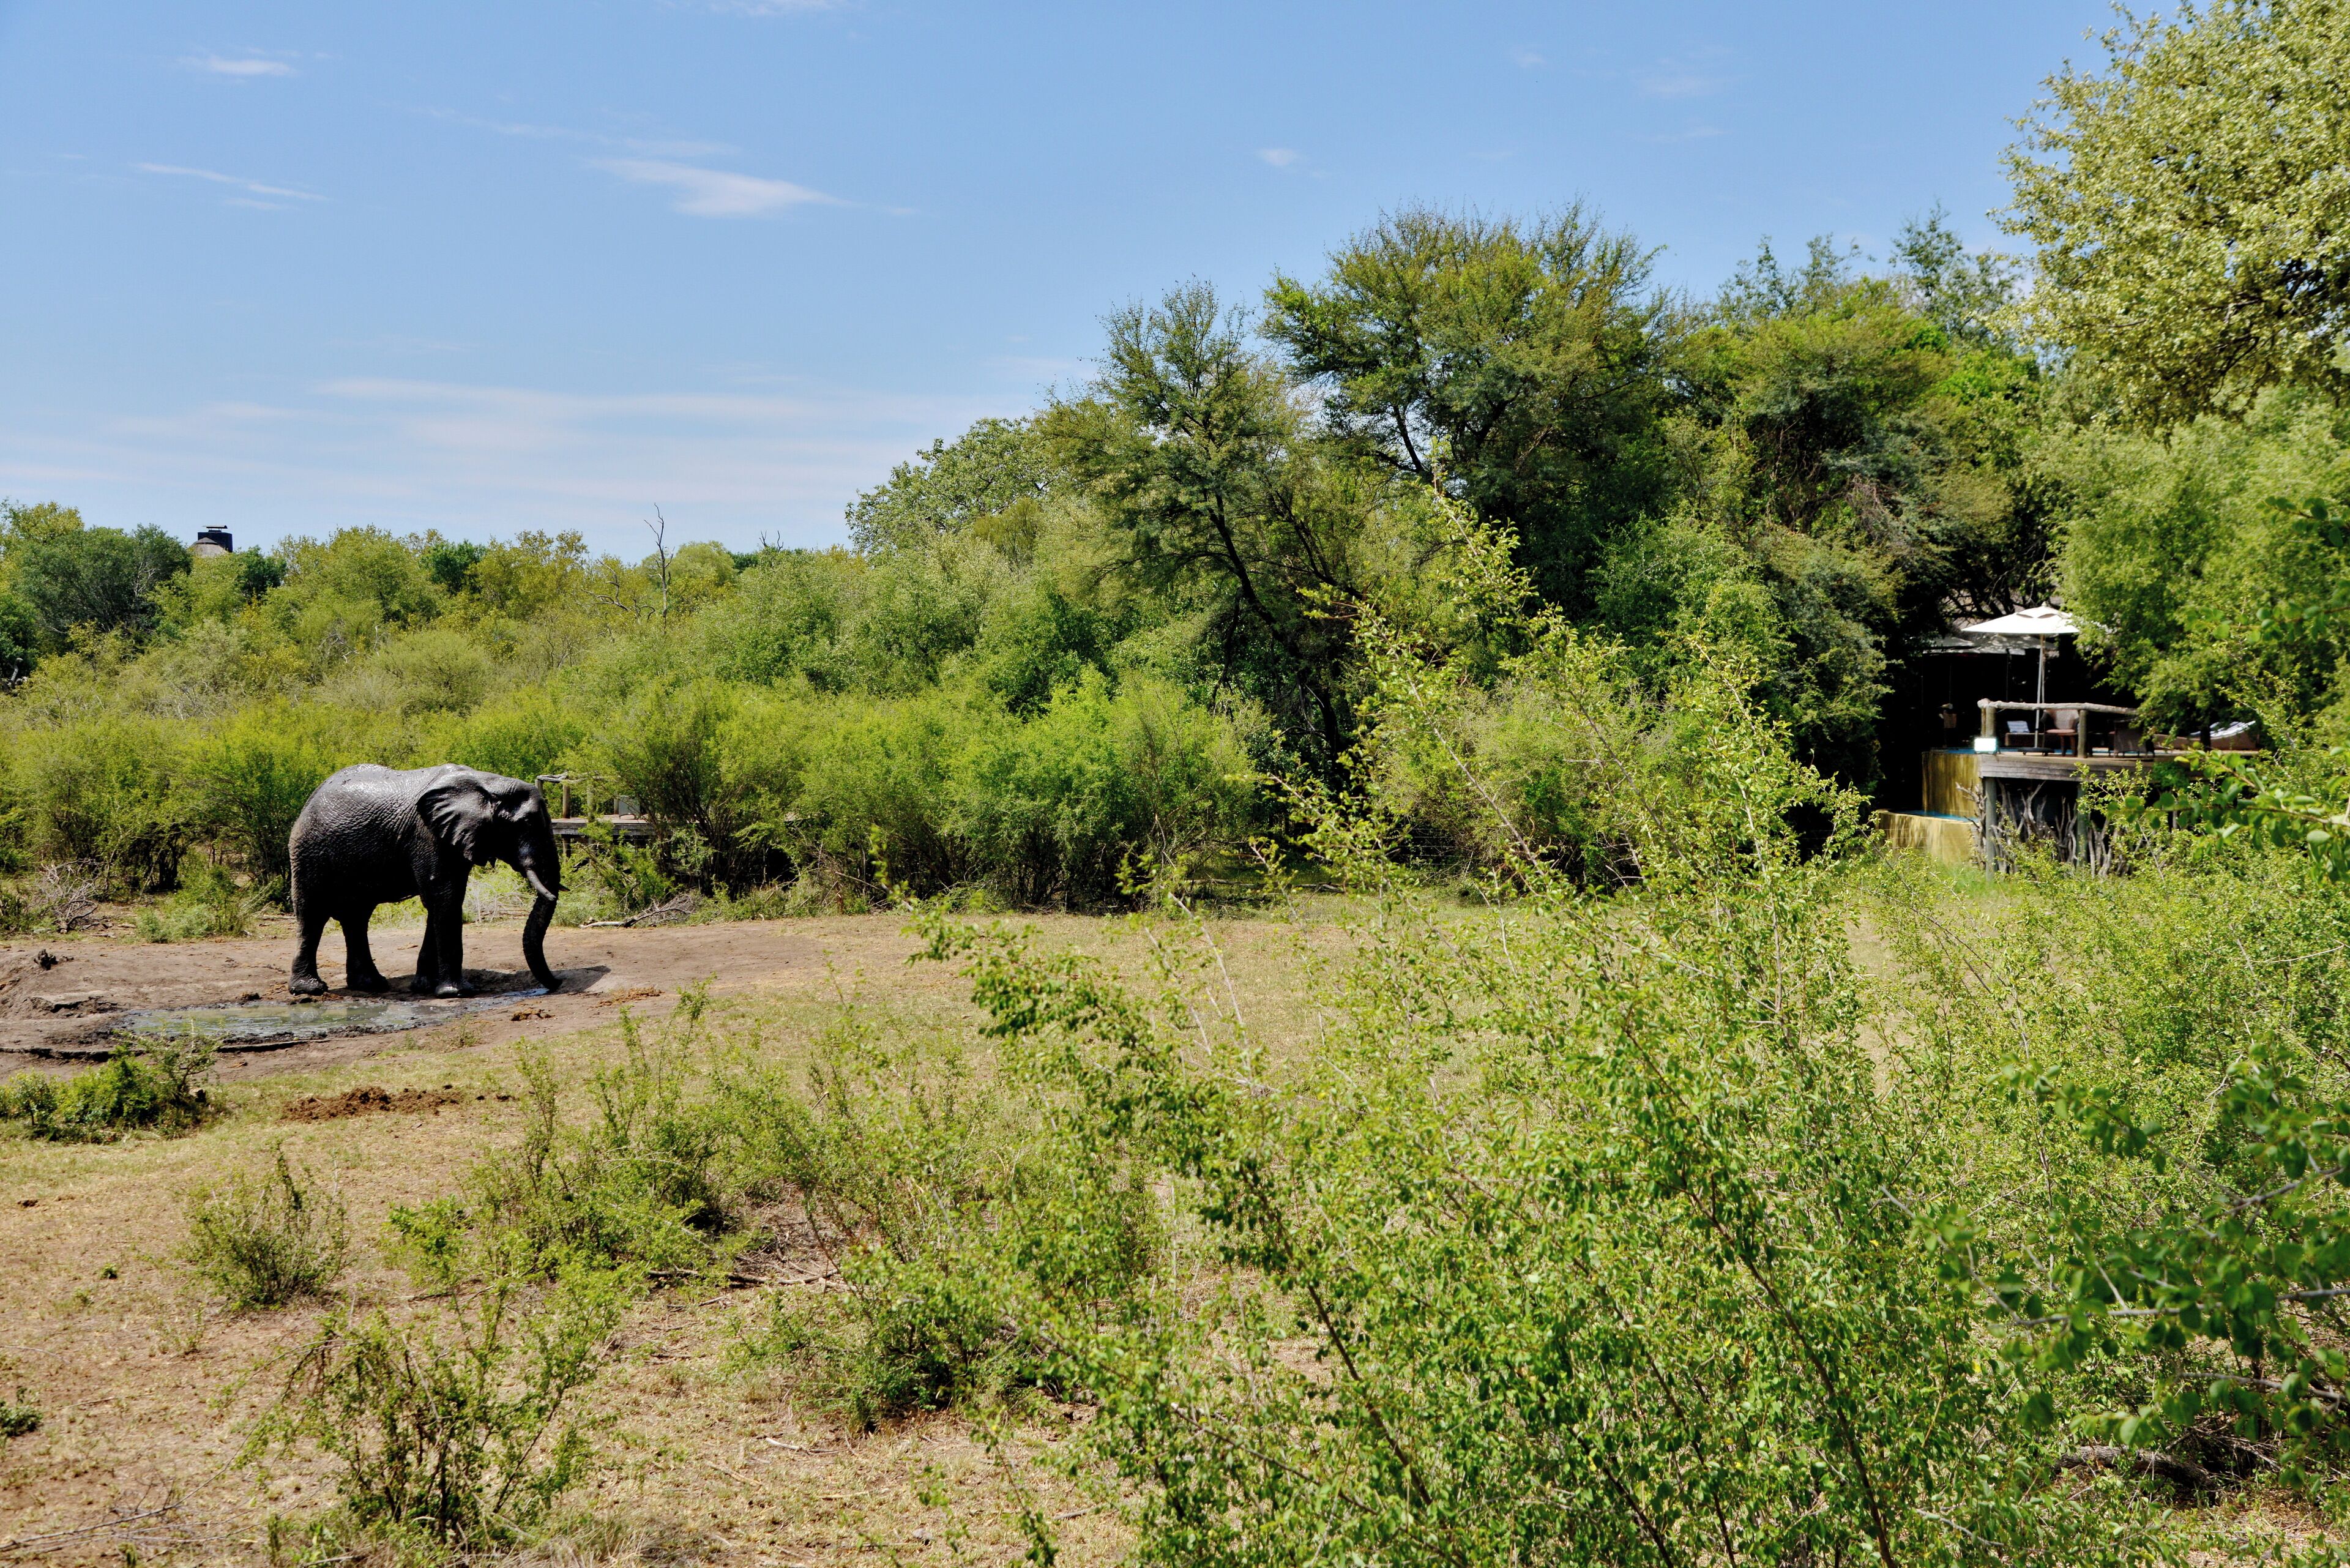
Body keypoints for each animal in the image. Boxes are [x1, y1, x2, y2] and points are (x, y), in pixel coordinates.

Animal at [288, 764, 563, 998]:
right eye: (526, 823)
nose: (557, 984)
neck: (486, 783)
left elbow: (445, 901)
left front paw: (425, 987)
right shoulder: (426, 836)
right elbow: (445, 899)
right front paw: (457, 992)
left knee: (357, 918)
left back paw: (371, 985)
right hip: (309, 851)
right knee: (313, 914)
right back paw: (309, 990)